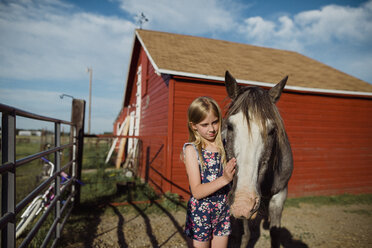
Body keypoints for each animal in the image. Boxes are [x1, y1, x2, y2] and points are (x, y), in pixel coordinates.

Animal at [221, 70, 294, 247]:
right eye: (230, 126)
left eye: (272, 131)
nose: (243, 203)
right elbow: (246, 234)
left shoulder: (280, 195)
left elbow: (275, 233)